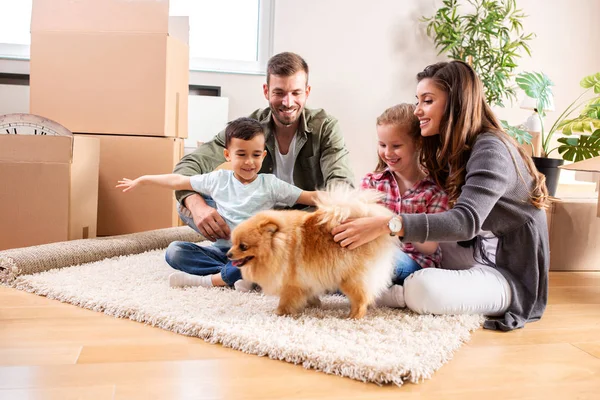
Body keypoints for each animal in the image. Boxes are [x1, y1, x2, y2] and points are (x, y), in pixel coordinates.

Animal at [225, 188, 398, 318]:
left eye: (243, 246)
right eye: (232, 243)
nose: (228, 254)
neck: (278, 247)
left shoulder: (291, 282)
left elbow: (286, 300)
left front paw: (280, 312)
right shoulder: (306, 280)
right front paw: (313, 304)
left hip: (349, 278)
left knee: (362, 299)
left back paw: (353, 316)